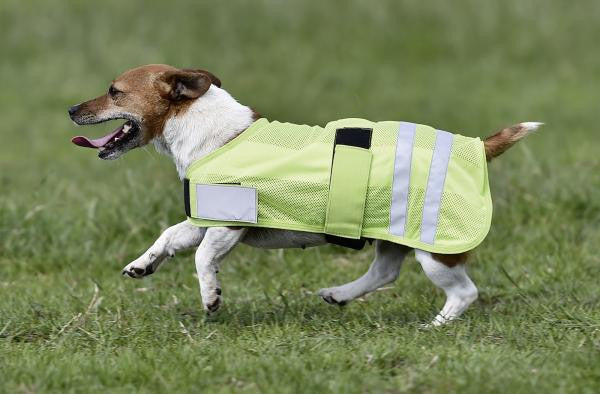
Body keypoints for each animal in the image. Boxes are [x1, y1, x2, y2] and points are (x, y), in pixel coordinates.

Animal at [68, 63, 540, 324]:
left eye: (114, 91)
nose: (71, 109)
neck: (205, 129)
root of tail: (476, 147)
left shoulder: (227, 224)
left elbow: (203, 258)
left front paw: (210, 296)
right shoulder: (202, 218)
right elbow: (168, 236)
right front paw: (142, 264)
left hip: (435, 250)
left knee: (464, 292)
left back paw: (435, 327)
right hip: (392, 235)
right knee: (385, 272)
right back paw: (340, 294)